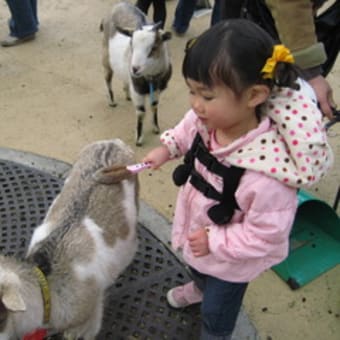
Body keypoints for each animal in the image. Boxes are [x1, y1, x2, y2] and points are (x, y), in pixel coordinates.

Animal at [99, 0, 171, 146]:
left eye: (153, 48)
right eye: (132, 44)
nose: (135, 69)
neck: (149, 77)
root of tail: (119, 5)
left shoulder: (156, 88)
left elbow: (154, 106)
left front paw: (156, 128)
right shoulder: (138, 90)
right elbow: (141, 112)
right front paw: (139, 138)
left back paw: (127, 94)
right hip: (105, 57)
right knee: (107, 78)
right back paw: (112, 101)